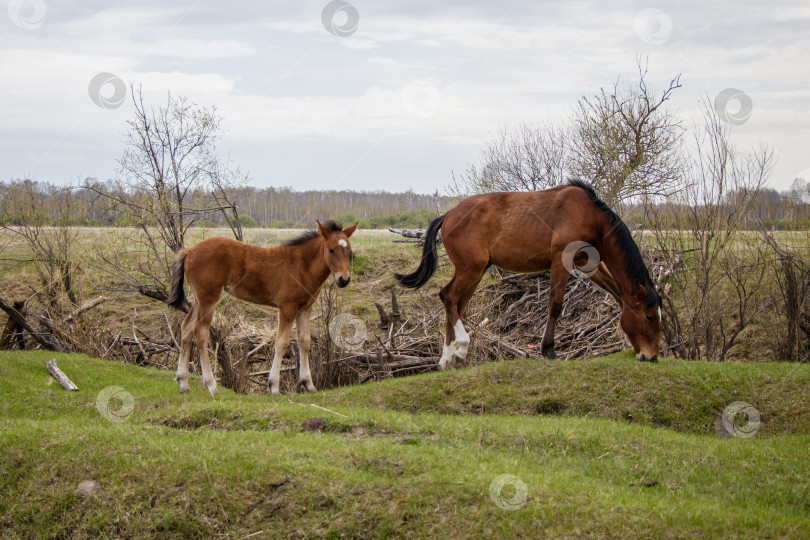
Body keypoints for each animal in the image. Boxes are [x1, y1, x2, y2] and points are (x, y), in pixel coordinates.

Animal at [166, 220, 356, 396]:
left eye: (349, 251)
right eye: (330, 249)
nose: (344, 279)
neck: (302, 266)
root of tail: (190, 250)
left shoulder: (305, 308)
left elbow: (305, 342)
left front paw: (309, 384)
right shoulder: (287, 307)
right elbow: (281, 343)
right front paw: (274, 386)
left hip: (199, 300)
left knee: (186, 328)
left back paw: (183, 383)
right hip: (208, 299)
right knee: (200, 332)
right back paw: (211, 386)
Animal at [394, 180, 660, 368]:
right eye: (649, 317)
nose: (653, 356)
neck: (590, 216)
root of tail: (448, 215)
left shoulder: (589, 265)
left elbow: (619, 297)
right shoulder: (560, 262)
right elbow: (555, 305)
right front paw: (549, 349)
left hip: (474, 272)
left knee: (457, 304)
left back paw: (448, 358)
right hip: (470, 269)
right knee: (448, 297)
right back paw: (460, 347)